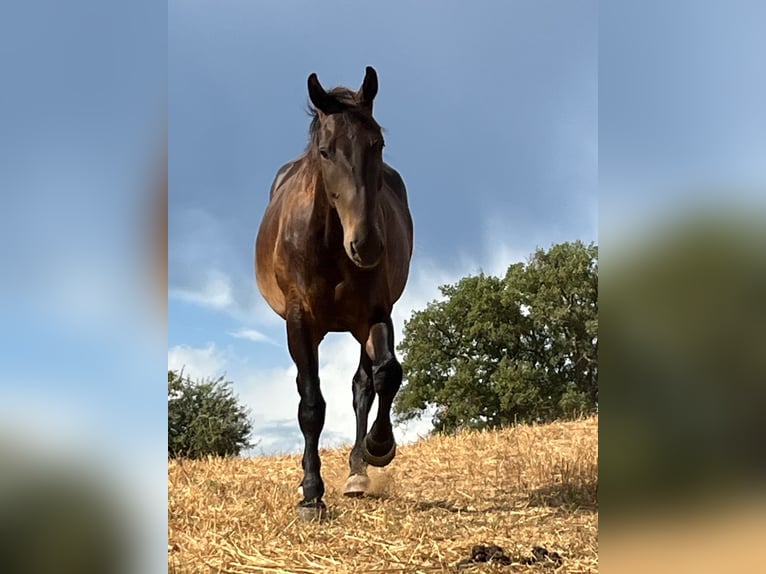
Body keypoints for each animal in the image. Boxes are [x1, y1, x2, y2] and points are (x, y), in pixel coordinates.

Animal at [255, 66, 413, 520]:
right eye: (325, 151)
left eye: (377, 144)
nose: (367, 245)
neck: (327, 245)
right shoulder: (300, 321)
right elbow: (311, 405)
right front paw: (311, 493)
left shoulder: (376, 313)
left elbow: (386, 374)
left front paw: (379, 446)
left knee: (365, 384)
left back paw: (359, 471)